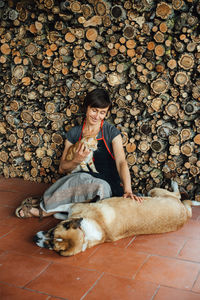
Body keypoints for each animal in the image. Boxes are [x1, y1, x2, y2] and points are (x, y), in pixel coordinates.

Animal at [33, 182, 199, 256]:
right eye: (52, 233)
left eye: (52, 244)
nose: (35, 238)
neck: (86, 233)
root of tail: (184, 214)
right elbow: (57, 213)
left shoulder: (74, 205)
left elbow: (54, 211)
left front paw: (44, 209)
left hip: (156, 191)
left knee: (177, 194)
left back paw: (175, 184)